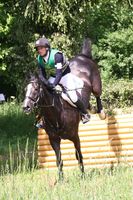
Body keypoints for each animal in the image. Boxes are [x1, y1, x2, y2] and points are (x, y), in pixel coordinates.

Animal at [22, 38, 105, 180]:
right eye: (26, 89)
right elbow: (59, 160)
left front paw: (82, 175)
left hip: (96, 84)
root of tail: (83, 56)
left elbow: (79, 156)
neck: (56, 114)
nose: (26, 106)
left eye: (36, 89)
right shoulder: (54, 139)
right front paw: (61, 180)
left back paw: (100, 112)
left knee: (97, 94)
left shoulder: (75, 136)